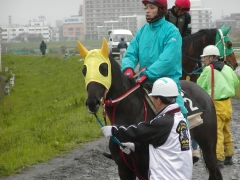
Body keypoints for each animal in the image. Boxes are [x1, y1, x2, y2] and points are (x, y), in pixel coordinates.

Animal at [78, 38, 222, 179]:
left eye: (103, 69)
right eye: (84, 70)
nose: (92, 102)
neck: (131, 114)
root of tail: (203, 92)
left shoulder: (147, 168)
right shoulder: (124, 169)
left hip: (208, 146)